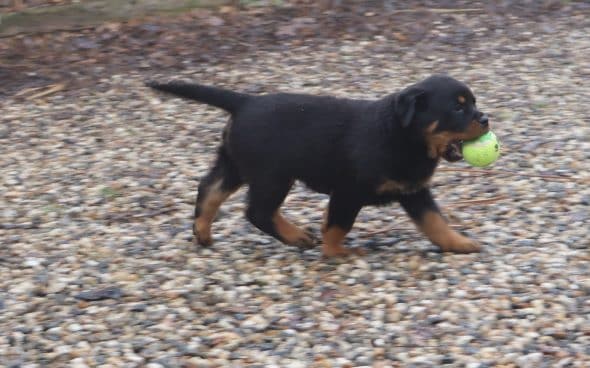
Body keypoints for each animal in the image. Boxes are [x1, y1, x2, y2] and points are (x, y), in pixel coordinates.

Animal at [148, 75, 490, 256]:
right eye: (458, 109)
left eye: (473, 103)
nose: (485, 118)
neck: (404, 136)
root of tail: (245, 101)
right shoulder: (349, 191)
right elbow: (339, 225)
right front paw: (337, 252)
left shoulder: (414, 190)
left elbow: (435, 222)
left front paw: (460, 243)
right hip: (272, 174)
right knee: (257, 211)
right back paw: (296, 236)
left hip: (236, 163)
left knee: (210, 189)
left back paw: (203, 233)